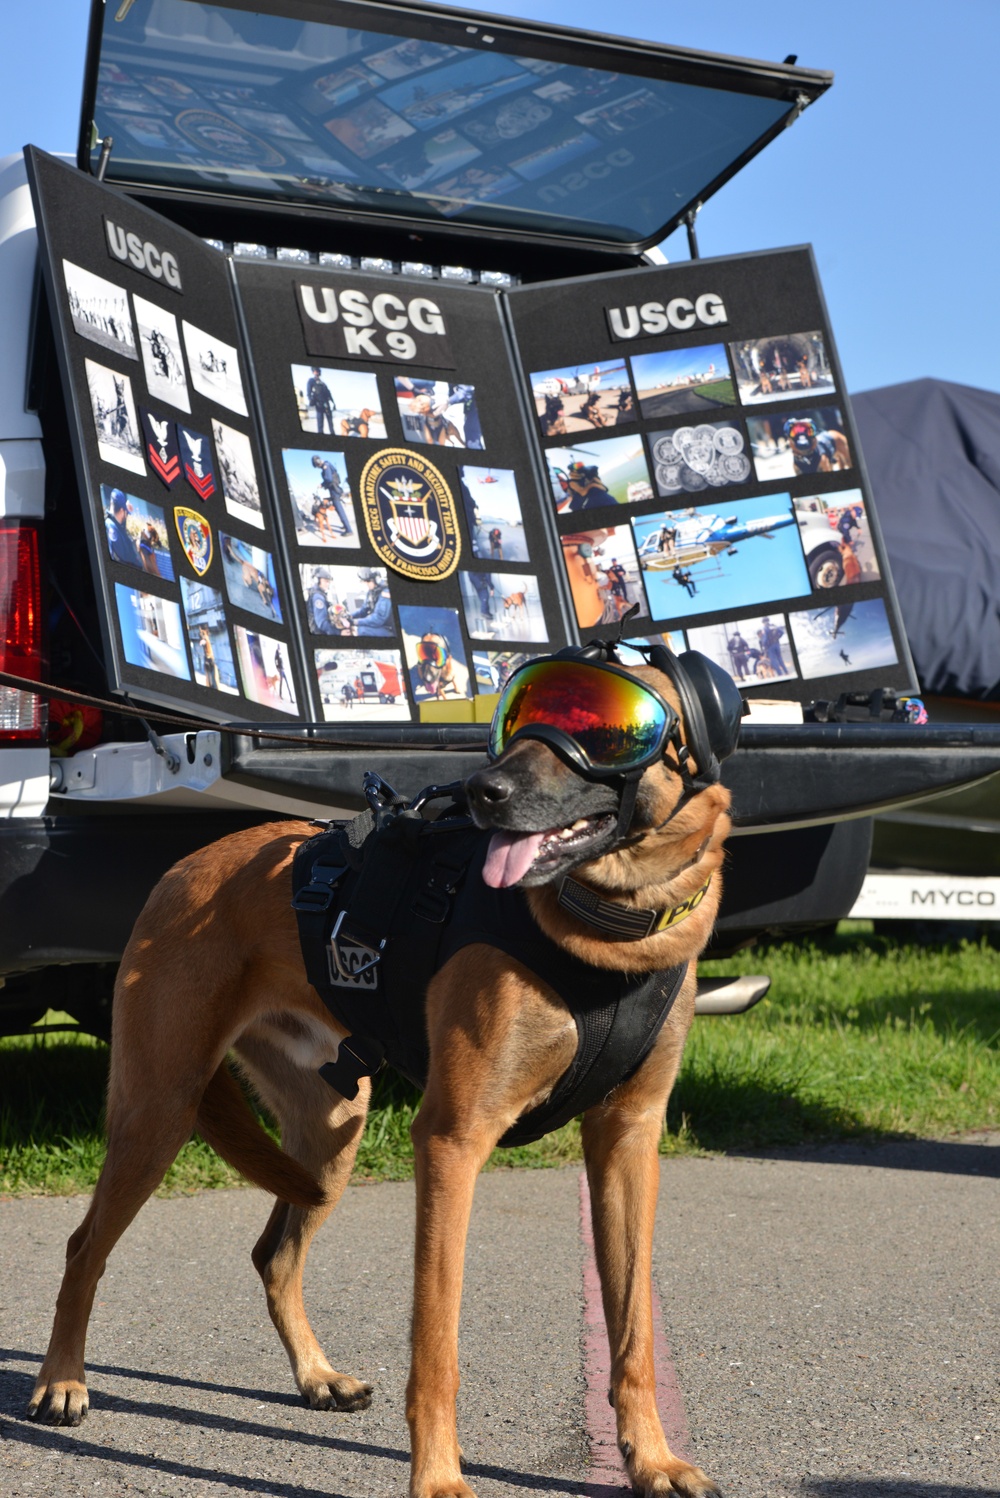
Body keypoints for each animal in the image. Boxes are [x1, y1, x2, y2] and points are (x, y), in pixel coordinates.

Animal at [27, 635, 739, 1498]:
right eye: (517, 719)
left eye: (601, 731)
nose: (484, 791)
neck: (607, 933)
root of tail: (184, 865)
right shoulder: (452, 1143)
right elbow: (436, 1344)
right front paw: (437, 1478)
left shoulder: (628, 1142)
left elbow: (632, 1331)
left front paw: (652, 1459)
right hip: (158, 1111)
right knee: (83, 1247)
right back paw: (62, 1381)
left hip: (334, 1131)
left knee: (274, 1255)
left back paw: (315, 1375)